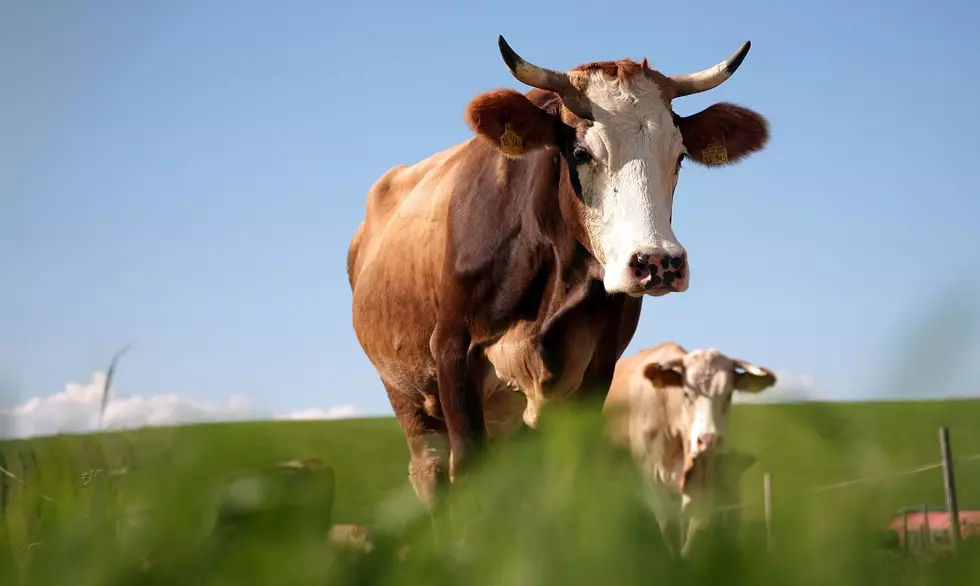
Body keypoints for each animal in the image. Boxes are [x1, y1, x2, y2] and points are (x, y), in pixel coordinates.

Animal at [348, 35, 768, 512]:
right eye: (581, 153)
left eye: (679, 157)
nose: (658, 262)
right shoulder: (453, 352)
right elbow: (469, 474)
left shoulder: (596, 370)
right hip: (407, 394)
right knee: (430, 471)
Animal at [600, 342, 776, 556]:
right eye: (686, 394)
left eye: (728, 395)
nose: (708, 440)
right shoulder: (652, 477)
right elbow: (669, 529)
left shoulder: (700, 478)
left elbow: (694, 528)